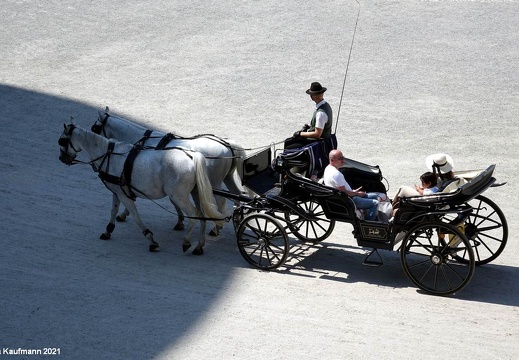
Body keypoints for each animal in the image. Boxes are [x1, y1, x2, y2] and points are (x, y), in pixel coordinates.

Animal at [59, 122, 225, 255]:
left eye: (62, 141)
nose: (62, 159)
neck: (108, 154)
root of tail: (192, 156)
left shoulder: (124, 195)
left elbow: (136, 217)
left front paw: (151, 240)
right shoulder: (117, 192)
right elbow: (113, 210)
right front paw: (108, 230)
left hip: (178, 196)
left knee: (194, 214)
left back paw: (186, 242)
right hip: (195, 193)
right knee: (202, 215)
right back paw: (199, 246)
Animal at [91, 107, 246, 236]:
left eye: (95, 128)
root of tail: (228, 144)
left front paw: (124, 213)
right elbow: (172, 200)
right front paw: (180, 220)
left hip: (214, 182)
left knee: (221, 201)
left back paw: (216, 228)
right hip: (227, 178)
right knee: (237, 195)